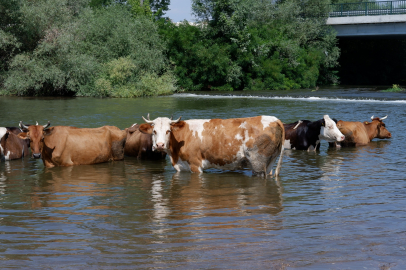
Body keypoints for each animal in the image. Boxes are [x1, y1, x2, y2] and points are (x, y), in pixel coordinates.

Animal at [140, 114, 286, 176]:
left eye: (168, 131)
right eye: (154, 131)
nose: (159, 145)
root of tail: (274, 119)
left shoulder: (195, 165)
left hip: (258, 163)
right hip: (270, 161)